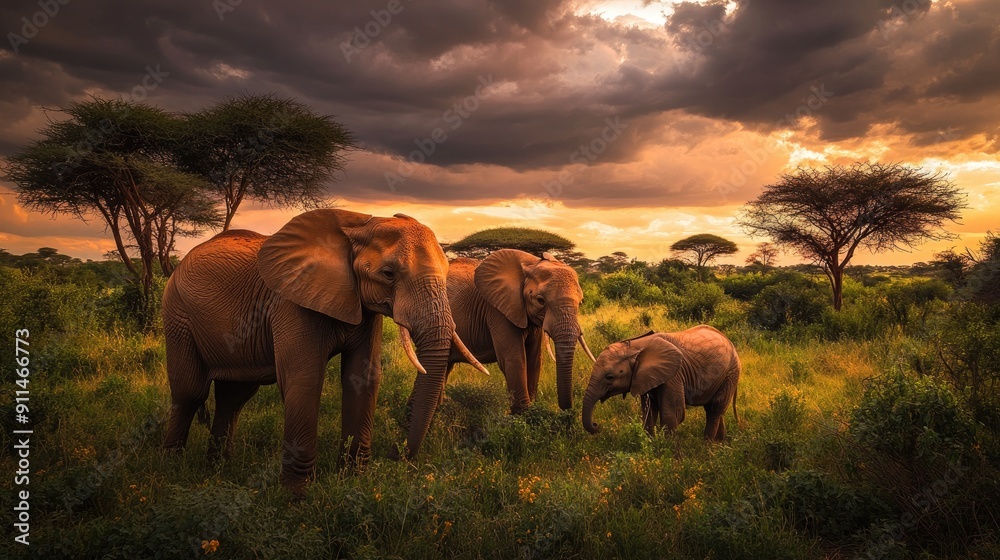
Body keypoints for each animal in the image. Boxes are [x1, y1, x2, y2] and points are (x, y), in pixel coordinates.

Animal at [161, 209, 486, 494]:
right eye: (388, 274)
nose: (401, 459)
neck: (360, 224)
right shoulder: (291, 302)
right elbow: (304, 380)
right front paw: (297, 496)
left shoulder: (363, 307)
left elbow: (364, 379)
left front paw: (355, 482)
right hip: (178, 314)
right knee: (190, 393)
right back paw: (173, 469)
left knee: (234, 397)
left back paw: (218, 470)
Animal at [405, 249, 595, 420]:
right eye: (541, 301)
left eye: (581, 302)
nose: (568, 412)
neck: (531, 264)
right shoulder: (497, 311)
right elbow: (514, 361)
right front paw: (523, 418)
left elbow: (534, 361)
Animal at [582, 326, 741, 440]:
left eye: (609, 377)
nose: (596, 425)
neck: (636, 345)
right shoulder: (646, 377)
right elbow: (649, 413)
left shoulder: (674, 375)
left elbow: (672, 414)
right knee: (715, 410)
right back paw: (718, 446)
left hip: (731, 373)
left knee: (714, 409)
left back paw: (707, 447)